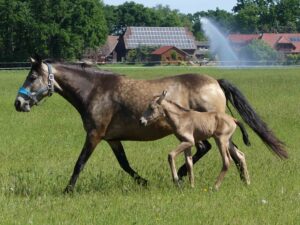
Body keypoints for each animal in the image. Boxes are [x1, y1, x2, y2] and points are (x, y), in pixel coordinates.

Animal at [14, 56, 288, 192]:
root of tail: (216, 82)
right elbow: (124, 164)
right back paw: (239, 181)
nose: (18, 102)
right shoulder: (112, 139)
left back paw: (186, 177)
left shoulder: (94, 135)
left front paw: (68, 190)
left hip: (213, 132)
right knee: (230, 153)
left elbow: (79, 163)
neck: (95, 90)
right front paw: (144, 182)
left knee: (218, 152)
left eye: (32, 76)